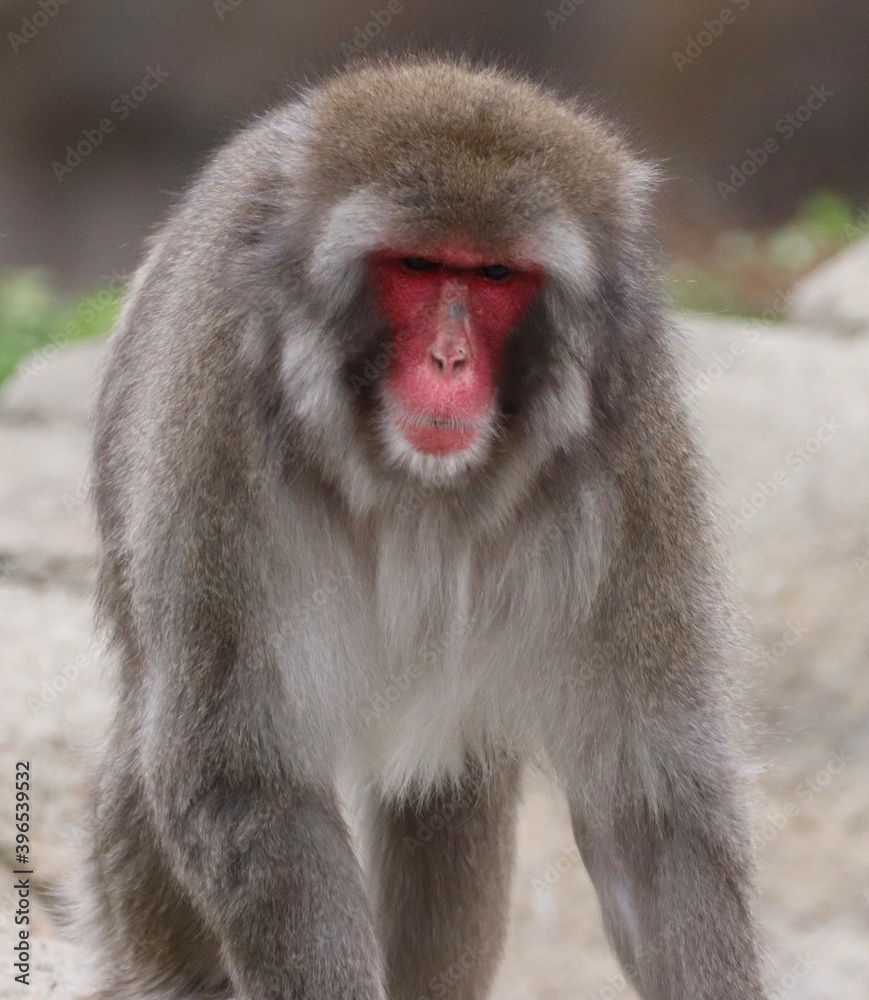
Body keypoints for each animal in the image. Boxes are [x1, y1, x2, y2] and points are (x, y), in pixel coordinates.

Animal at [79, 56, 768, 1000]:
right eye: (416, 264)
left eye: (494, 277)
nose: (449, 362)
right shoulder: (217, 408)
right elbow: (244, 783)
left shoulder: (631, 443)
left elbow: (650, 818)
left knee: (448, 790)